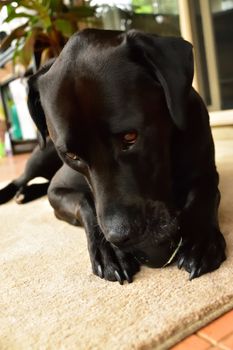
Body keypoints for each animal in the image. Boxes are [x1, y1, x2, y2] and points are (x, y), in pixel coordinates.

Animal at [0, 28, 226, 284]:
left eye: (130, 136)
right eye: (71, 155)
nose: (121, 236)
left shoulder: (206, 172)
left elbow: (205, 194)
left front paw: (200, 240)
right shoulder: (57, 190)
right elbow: (85, 203)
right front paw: (108, 250)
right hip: (40, 156)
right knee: (20, 179)